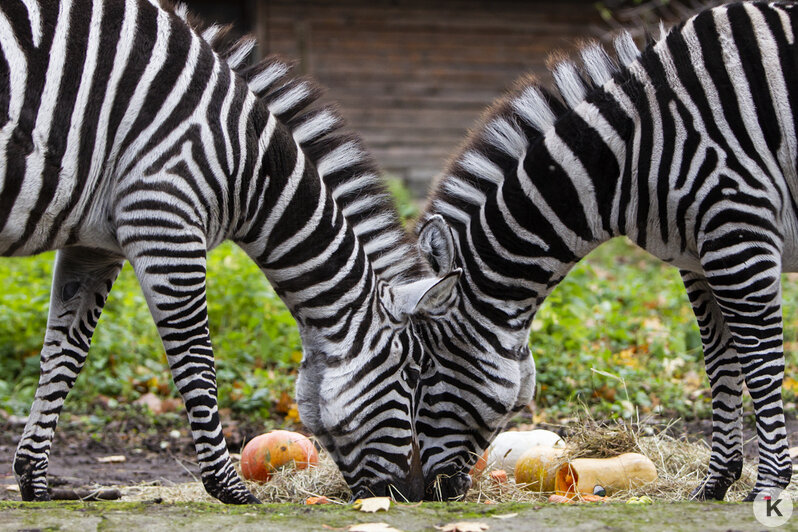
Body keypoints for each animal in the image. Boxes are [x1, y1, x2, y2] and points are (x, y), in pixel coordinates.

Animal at [1, 0, 462, 502]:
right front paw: (229, 488)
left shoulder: (93, 246)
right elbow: (196, 358)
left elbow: (64, 353)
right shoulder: (166, 217)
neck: (250, 165)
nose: (417, 493)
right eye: (412, 376)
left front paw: (34, 480)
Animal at [416, 0, 796, 500]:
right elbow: (720, 361)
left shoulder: (739, 233)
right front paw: (716, 483)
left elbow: (760, 360)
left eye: (422, 374)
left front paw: (769, 487)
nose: (424, 490)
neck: (631, 153)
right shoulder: (698, 258)